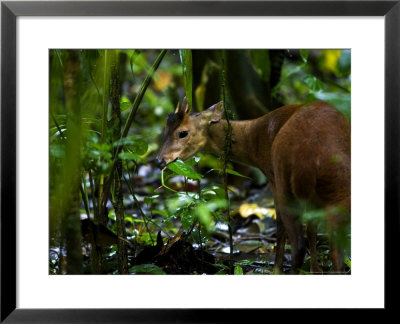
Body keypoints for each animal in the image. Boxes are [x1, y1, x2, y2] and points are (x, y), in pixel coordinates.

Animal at [156, 98, 350, 274]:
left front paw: (278, 269)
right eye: (165, 130)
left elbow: (281, 226)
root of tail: (308, 158)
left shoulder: (272, 175)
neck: (254, 140)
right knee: (335, 246)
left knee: (298, 244)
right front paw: (315, 269)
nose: (160, 160)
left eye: (183, 133)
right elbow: (312, 229)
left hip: (286, 180)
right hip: (338, 189)